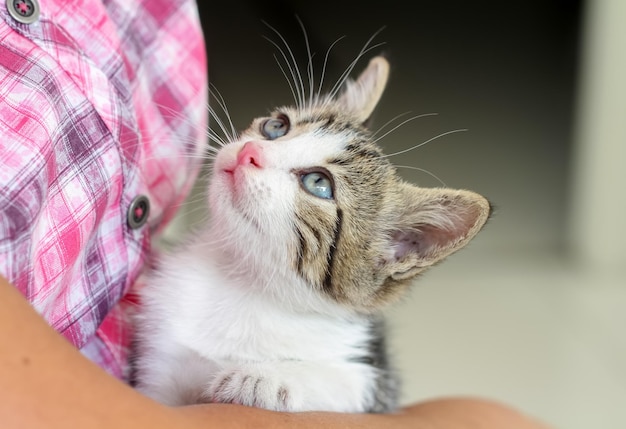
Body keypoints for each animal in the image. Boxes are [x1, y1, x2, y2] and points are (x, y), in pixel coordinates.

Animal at [133, 56, 492, 412]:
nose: (249, 151)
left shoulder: (376, 383)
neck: (242, 278)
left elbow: (343, 380)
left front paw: (264, 378)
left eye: (319, 183)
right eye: (276, 126)